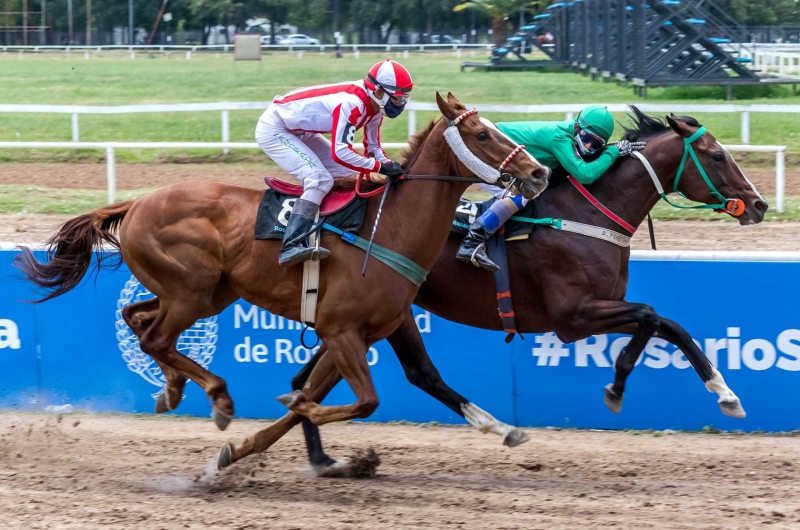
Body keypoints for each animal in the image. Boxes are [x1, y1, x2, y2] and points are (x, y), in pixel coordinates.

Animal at [15, 92, 552, 434]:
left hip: (209, 292)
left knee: (138, 319)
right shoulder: (340, 329)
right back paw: (218, 397)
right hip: (191, 290)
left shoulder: (380, 325)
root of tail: (137, 203)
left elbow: (395, 386)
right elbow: (363, 400)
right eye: (482, 135)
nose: (539, 172)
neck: (389, 227)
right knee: (155, 337)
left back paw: (172, 390)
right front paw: (299, 406)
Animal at [222, 106, 764, 470]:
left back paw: (318, 457)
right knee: (335, 380)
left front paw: (724, 394)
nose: (757, 204)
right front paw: (618, 388)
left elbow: (669, 325)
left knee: (311, 380)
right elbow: (653, 317)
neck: (585, 216)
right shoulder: (573, 316)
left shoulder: (598, 308)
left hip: (371, 319)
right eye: (717, 155)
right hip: (372, 318)